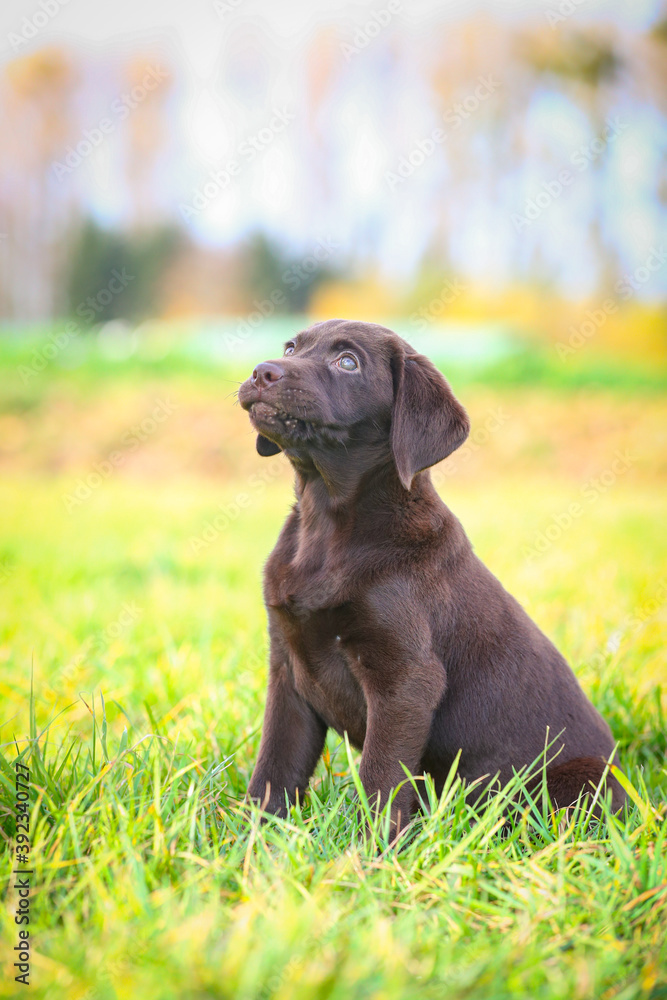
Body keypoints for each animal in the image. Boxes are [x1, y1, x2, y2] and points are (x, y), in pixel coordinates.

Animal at [237, 320, 624, 828]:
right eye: (289, 348)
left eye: (348, 362)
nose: (262, 372)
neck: (326, 526)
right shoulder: (287, 669)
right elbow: (275, 767)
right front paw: (253, 837)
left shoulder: (406, 680)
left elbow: (380, 776)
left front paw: (367, 847)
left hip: (582, 780)